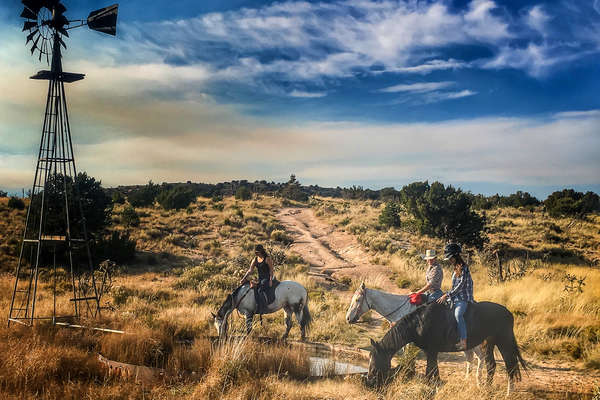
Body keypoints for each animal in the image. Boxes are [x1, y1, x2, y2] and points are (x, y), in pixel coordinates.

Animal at [346, 280, 482, 382]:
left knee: (480, 357)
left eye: (357, 299)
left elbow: (409, 357)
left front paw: (408, 372)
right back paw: (468, 379)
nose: (348, 318)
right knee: (470, 358)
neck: (400, 310)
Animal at [368, 304, 528, 394]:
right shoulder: (430, 351)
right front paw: (436, 386)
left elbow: (429, 372)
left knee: (510, 366)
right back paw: (486, 389)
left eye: (375, 364)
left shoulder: (432, 350)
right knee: (491, 365)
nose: (371, 382)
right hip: (488, 342)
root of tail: (509, 313)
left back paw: (508, 392)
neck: (419, 324)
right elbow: (434, 371)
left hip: (503, 342)